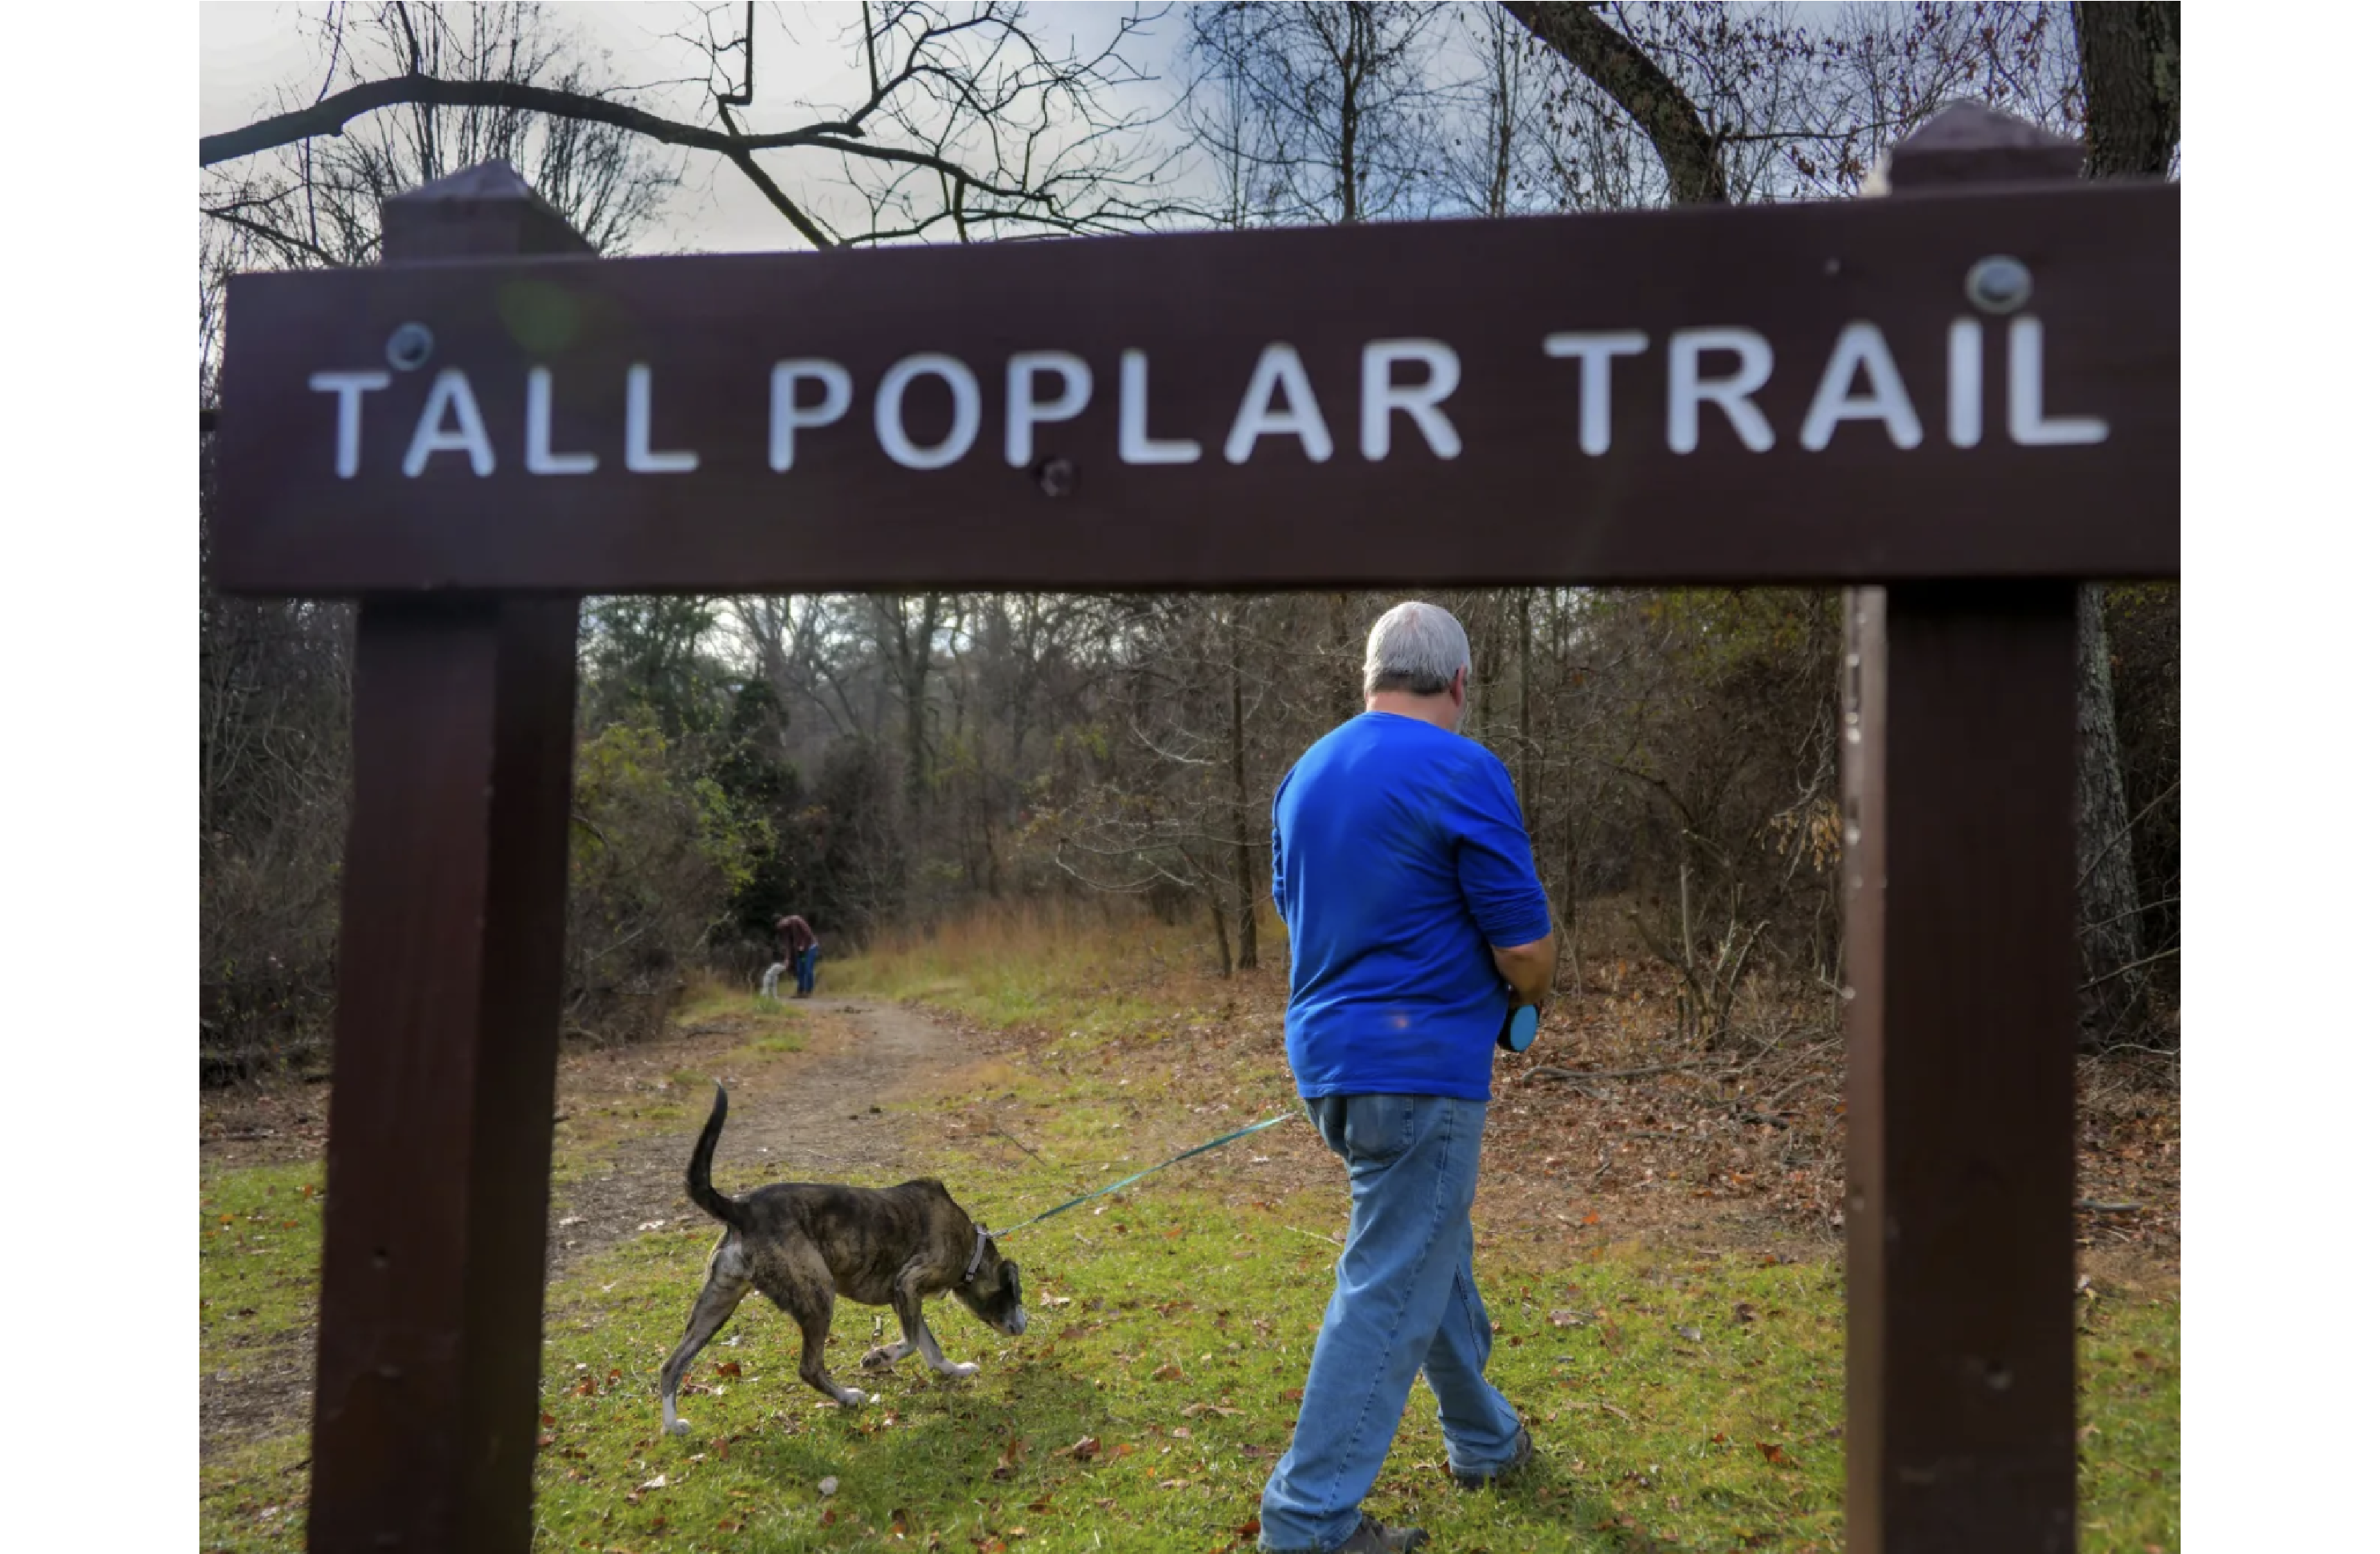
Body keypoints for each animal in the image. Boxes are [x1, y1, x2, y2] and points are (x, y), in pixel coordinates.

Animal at [661, 1080, 1023, 1427]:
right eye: (1015, 1294)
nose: (1023, 1326)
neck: (972, 1249)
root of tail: (741, 1209)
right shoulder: (908, 1283)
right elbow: (910, 1342)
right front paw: (879, 1358)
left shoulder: (905, 1297)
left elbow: (930, 1348)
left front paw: (955, 1370)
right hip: (818, 1294)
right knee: (809, 1367)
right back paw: (848, 1397)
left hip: (717, 1304)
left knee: (671, 1365)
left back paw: (673, 1425)